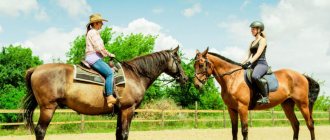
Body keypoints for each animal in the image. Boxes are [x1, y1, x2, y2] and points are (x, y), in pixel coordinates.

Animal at [22, 46, 188, 140]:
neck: (135, 75)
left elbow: (118, 134)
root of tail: (35, 69)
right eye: (178, 61)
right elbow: (124, 134)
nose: (185, 78)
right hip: (48, 108)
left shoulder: (121, 110)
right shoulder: (128, 109)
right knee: (40, 131)